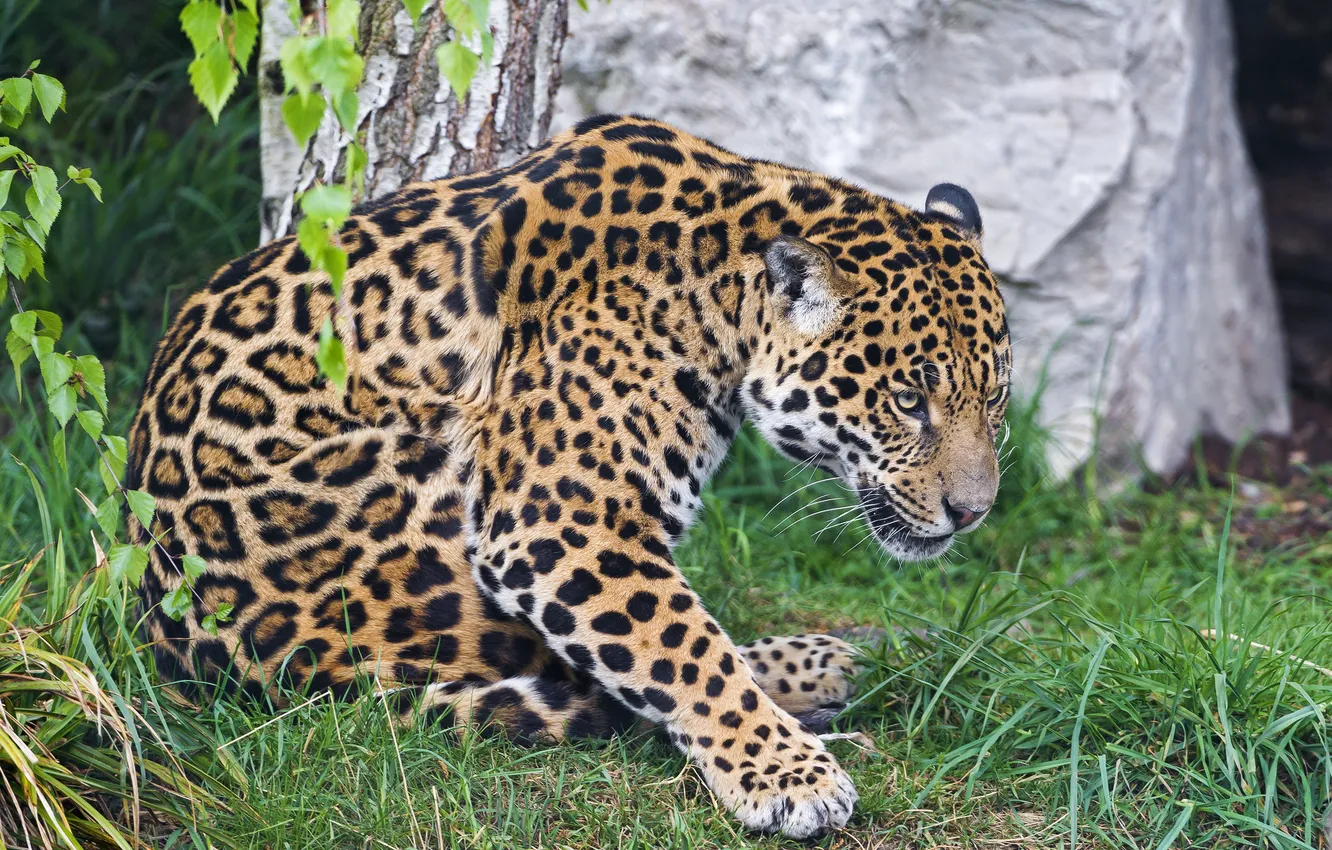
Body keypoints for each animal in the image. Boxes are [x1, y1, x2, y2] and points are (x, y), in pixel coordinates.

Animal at [124, 113, 1010, 838]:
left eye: (995, 400)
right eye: (908, 401)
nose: (972, 514)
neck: (716, 288)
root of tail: (173, 642)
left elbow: (681, 643)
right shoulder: (560, 523)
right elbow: (682, 649)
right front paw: (791, 780)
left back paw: (823, 665)